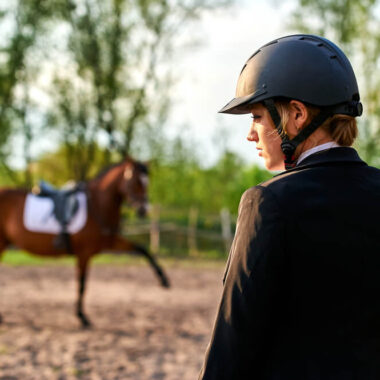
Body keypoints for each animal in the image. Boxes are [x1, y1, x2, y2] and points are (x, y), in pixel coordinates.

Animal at [0, 157, 169, 326]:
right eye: (136, 182)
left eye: (147, 182)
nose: (144, 209)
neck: (97, 205)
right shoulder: (84, 254)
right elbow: (82, 284)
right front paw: (82, 316)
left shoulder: (110, 242)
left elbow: (142, 249)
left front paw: (164, 280)